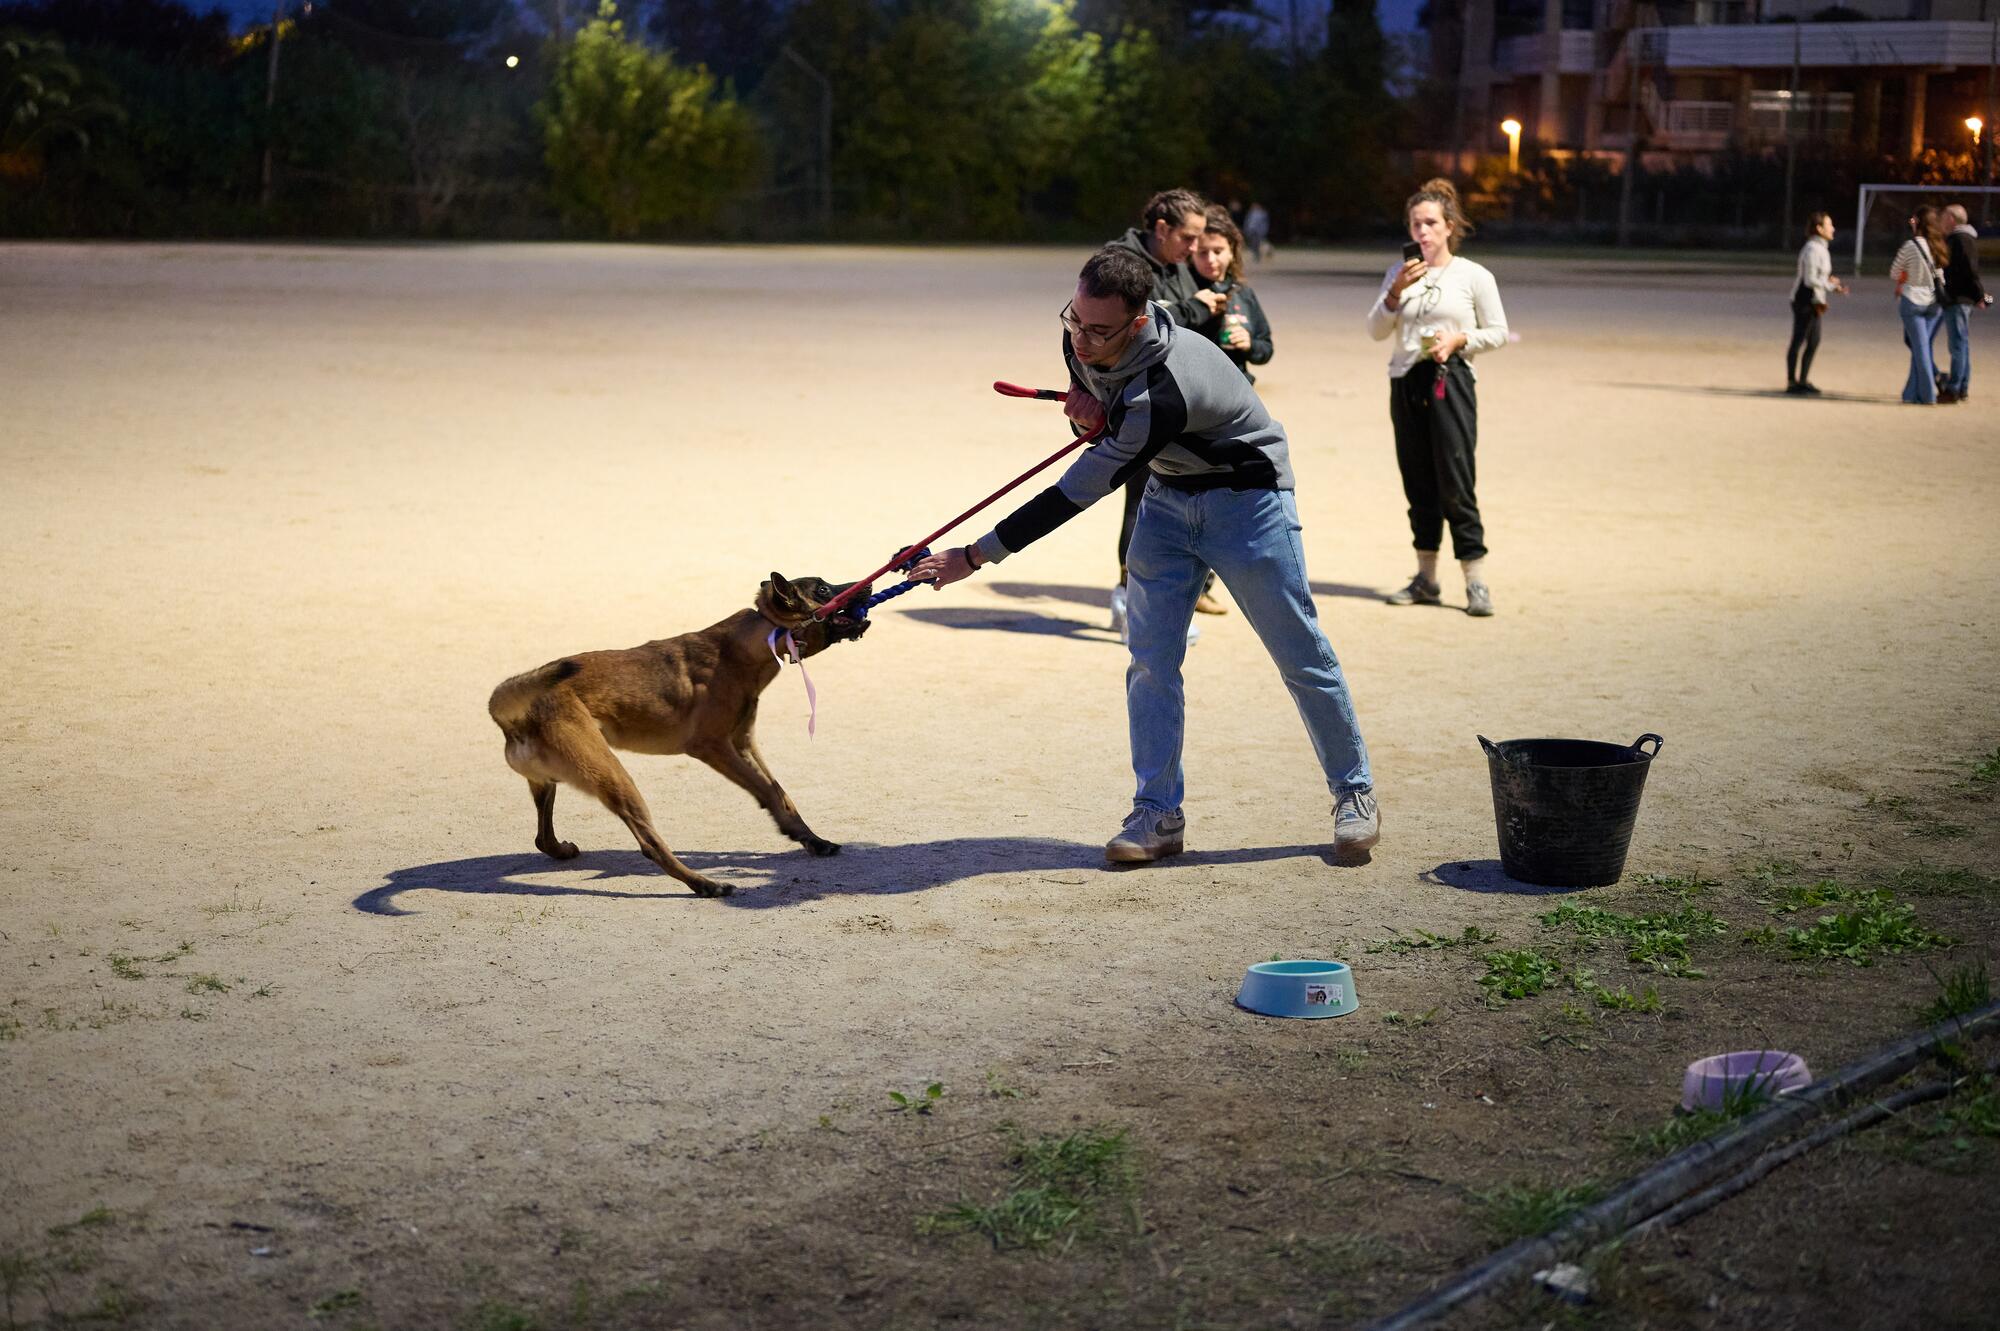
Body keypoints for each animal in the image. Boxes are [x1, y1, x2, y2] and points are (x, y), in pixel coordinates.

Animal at [488, 571, 872, 891]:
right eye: (823, 589)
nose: (867, 586)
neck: (749, 643)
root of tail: (512, 714)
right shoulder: (713, 747)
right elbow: (768, 791)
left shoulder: (743, 743)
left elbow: (780, 794)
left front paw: (809, 838)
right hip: (613, 777)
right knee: (649, 844)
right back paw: (705, 885)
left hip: (548, 781)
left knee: (542, 838)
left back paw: (563, 850)